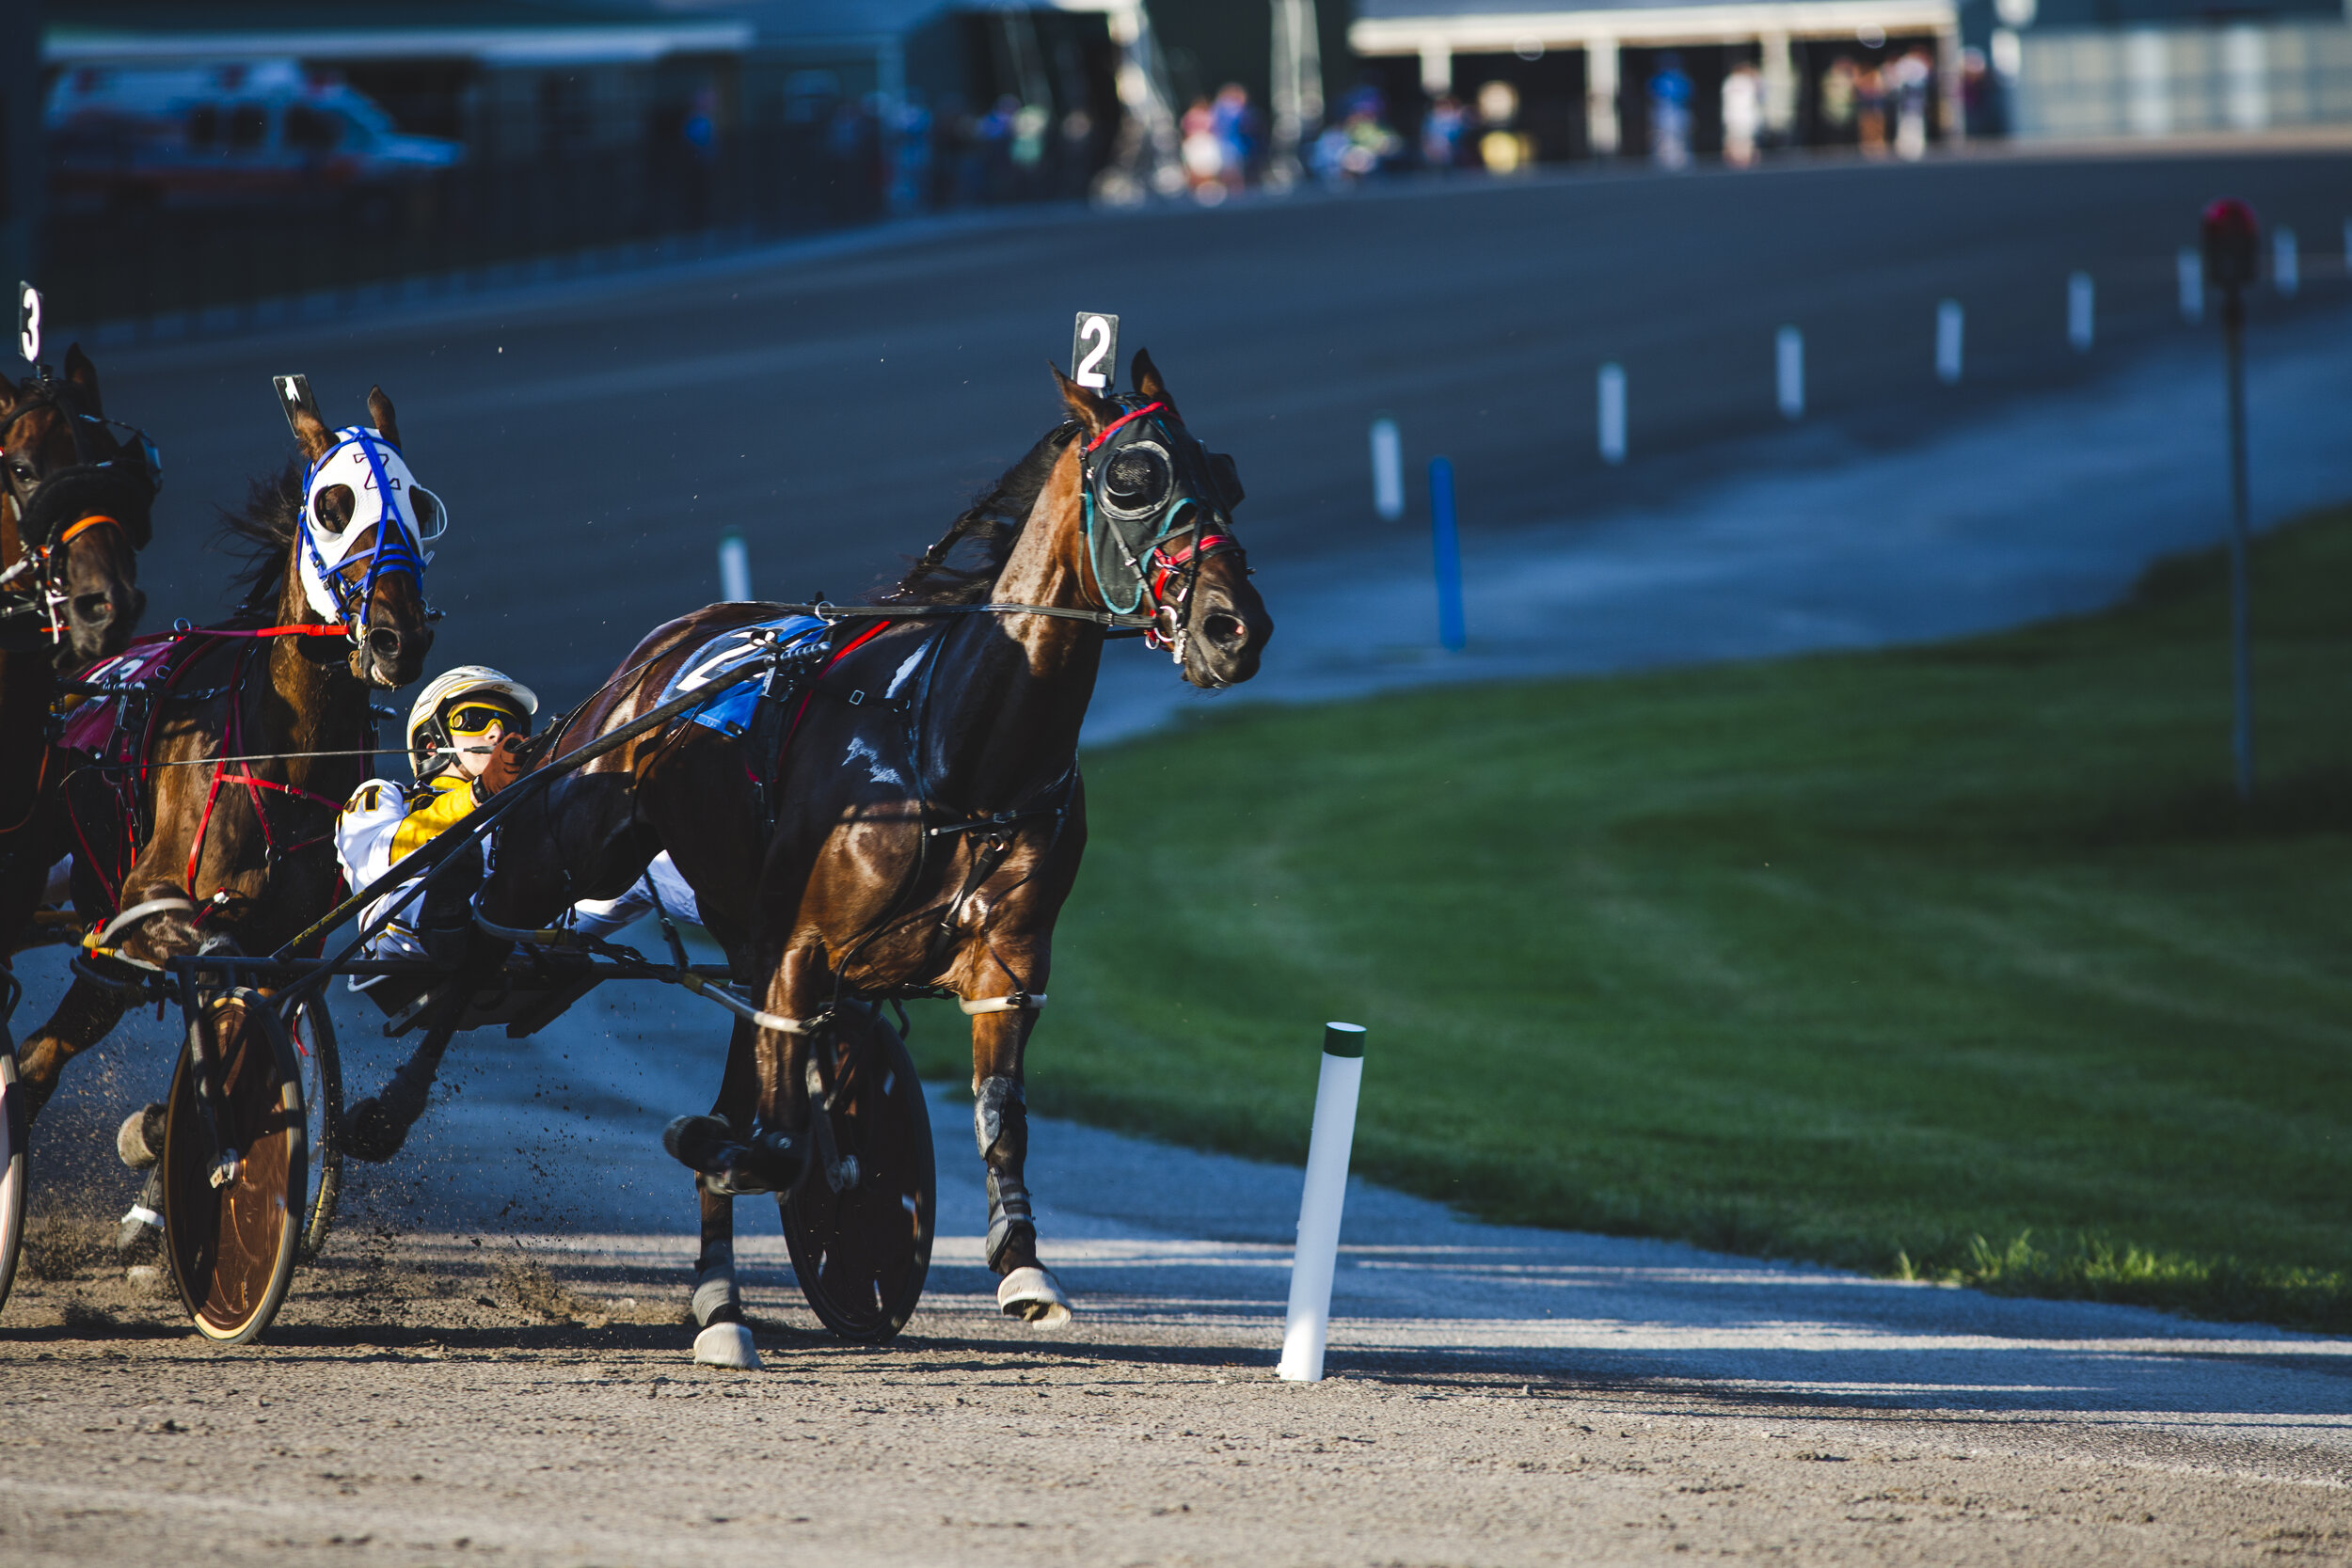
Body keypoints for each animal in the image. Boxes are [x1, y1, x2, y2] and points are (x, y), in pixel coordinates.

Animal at [13, 380, 435, 1142]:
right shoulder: (144, 902)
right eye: (333, 507)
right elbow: (213, 955)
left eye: (419, 506)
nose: (399, 637)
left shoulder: (295, 942)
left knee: (45, 1049)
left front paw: (163, 1129)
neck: (287, 754)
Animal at [359, 350, 1270, 1354]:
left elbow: (993, 1111)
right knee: (481, 941)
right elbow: (775, 1140)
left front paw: (1021, 1261)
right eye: (1132, 479)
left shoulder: (1008, 960)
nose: (1235, 627)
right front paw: (723, 1148)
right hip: (571, 847)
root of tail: (650, 657)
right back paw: (386, 1107)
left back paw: (721, 1303)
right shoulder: (802, 947)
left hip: (737, 927)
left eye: (1223, 474)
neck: (951, 750)